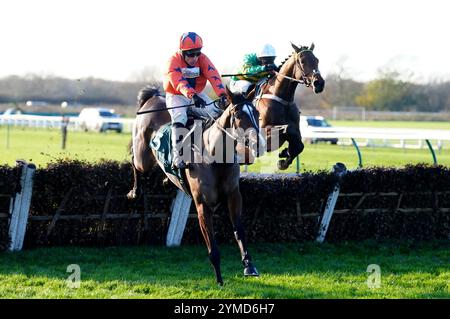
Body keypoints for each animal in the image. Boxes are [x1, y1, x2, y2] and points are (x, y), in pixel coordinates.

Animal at [126, 86, 260, 286]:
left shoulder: (234, 196)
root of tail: (153, 97)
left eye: (257, 112)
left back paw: (167, 179)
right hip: (143, 157)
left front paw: (249, 266)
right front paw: (219, 279)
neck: (215, 158)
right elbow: (212, 246)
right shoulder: (202, 205)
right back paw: (135, 191)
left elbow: (239, 231)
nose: (258, 143)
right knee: (135, 160)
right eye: (237, 114)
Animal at [251, 43, 326, 171]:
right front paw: (285, 154)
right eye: (302, 61)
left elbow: (299, 144)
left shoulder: (296, 128)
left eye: (317, 60)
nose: (319, 83)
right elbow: (287, 128)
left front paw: (285, 156)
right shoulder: (262, 131)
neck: (283, 100)